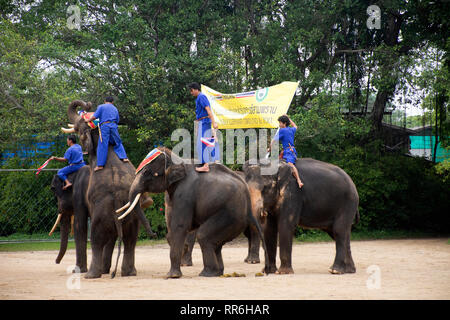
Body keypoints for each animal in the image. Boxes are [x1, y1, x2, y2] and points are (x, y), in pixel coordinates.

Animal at [60, 100, 156, 278]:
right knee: (131, 239)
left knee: (96, 239)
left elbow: (81, 224)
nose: (87, 104)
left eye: (79, 127)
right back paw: (128, 273)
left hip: (102, 214)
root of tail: (117, 197)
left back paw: (91, 275)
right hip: (132, 217)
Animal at [117, 148, 268, 278]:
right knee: (216, 242)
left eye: (147, 172)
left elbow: (180, 226)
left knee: (204, 235)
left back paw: (207, 273)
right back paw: (217, 272)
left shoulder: (184, 194)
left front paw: (172, 276)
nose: (153, 234)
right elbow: (175, 228)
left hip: (230, 215)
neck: (177, 160)